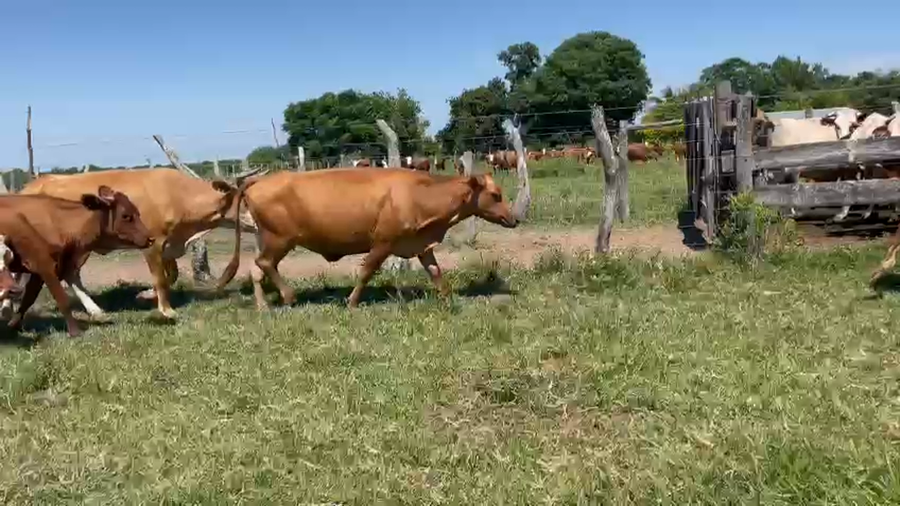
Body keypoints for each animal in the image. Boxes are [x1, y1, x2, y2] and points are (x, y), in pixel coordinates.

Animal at [0, 187, 153, 337]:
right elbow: (60, 298)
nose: (151, 238)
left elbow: (29, 298)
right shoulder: (44, 265)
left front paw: (14, 324)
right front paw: (75, 331)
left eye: (137, 213)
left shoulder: (55, 267)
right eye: (126, 216)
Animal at [19, 168, 259, 320]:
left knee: (69, 273)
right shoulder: (153, 243)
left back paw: (95, 310)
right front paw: (166, 310)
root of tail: (30, 187)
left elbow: (170, 275)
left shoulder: (169, 244)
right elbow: (160, 278)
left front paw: (146, 294)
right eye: (245, 202)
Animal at [214, 168, 518, 309]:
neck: (417, 194)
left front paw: (447, 298)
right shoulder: (383, 242)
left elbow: (435, 271)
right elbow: (366, 271)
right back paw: (288, 296)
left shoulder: (420, 244)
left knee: (255, 269)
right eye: (496, 195)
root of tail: (257, 181)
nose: (514, 218)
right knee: (265, 264)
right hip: (280, 239)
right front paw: (351, 302)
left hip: (265, 237)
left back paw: (263, 306)